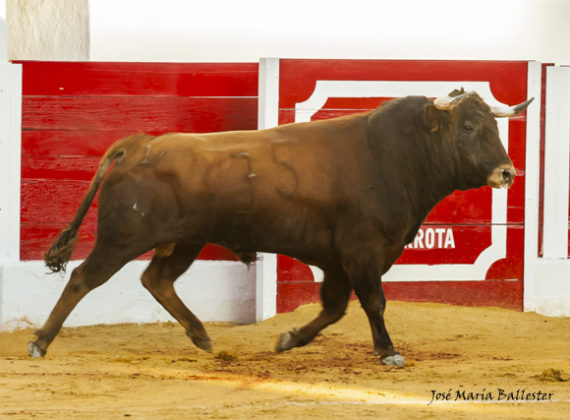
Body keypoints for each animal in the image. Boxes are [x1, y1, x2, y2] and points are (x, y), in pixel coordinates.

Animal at [27, 88, 532, 364]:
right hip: (123, 238)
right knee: (82, 278)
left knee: (157, 279)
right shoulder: (362, 252)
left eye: (493, 127)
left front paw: (289, 339)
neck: (395, 156)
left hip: (185, 239)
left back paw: (201, 334)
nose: (507, 172)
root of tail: (140, 143)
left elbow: (335, 308)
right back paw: (40, 343)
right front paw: (388, 351)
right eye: (467, 127)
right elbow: (374, 302)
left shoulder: (338, 261)